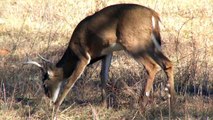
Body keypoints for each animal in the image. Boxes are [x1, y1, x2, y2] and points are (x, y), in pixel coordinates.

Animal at [25, 3, 175, 112]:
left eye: (45, 84)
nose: (49, 98)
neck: (73, 49)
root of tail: (154, 15)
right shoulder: (107, 53)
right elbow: (103, 76)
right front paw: (103, 105)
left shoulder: (83, 57)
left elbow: (70, 82)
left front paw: (55, 108)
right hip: (152, 44)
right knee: (167, 63)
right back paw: (172, 101)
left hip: (133, 43)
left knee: (152, 66)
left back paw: (142, 105)